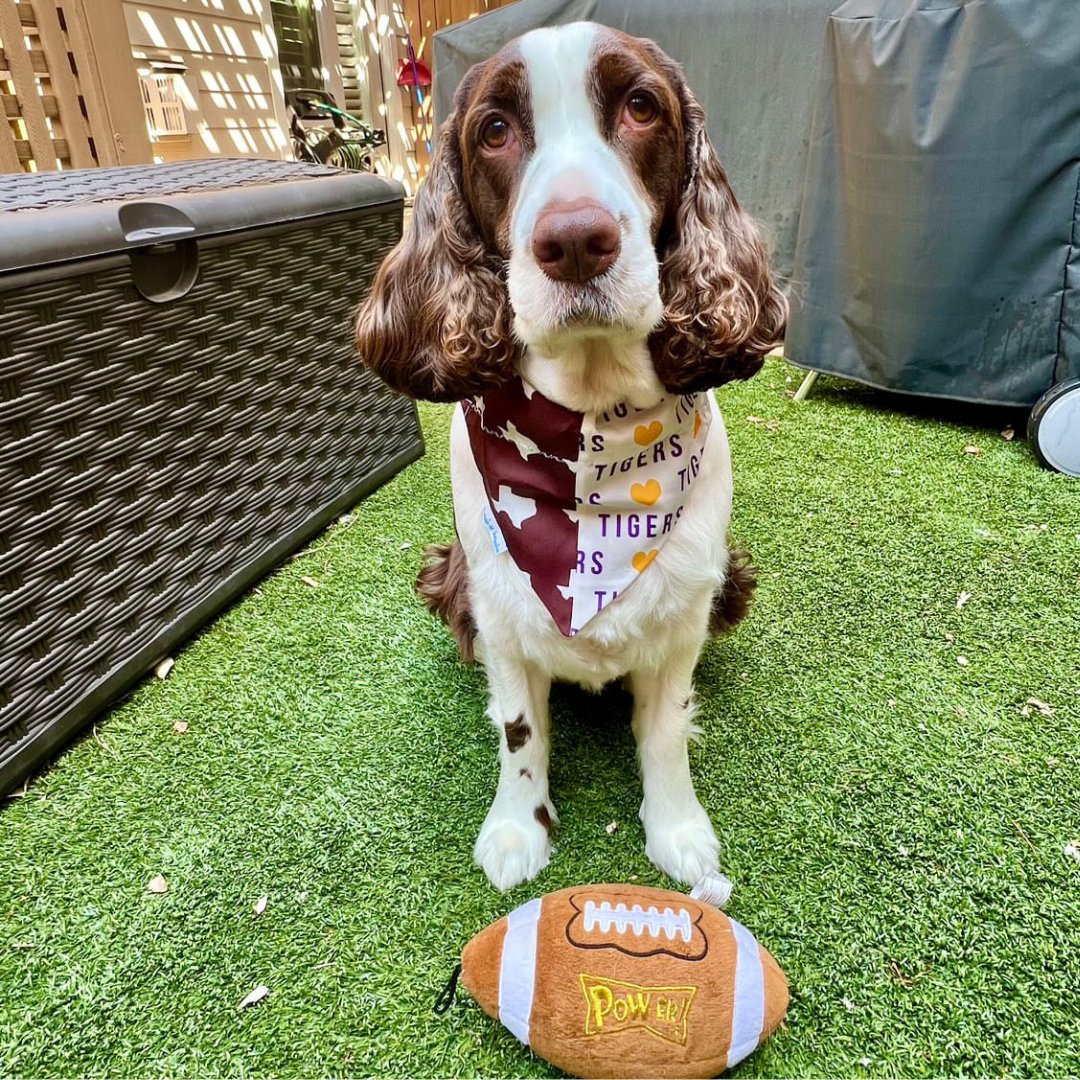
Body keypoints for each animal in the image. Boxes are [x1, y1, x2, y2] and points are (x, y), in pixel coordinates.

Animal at [354, 21, 786, 889]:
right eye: (494, 129)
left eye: (642, 107)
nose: (577, 240)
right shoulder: (498, 608)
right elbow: (520, 732)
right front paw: (517, 831)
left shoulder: (685, 615)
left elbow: (664, 730)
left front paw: (678, 829)